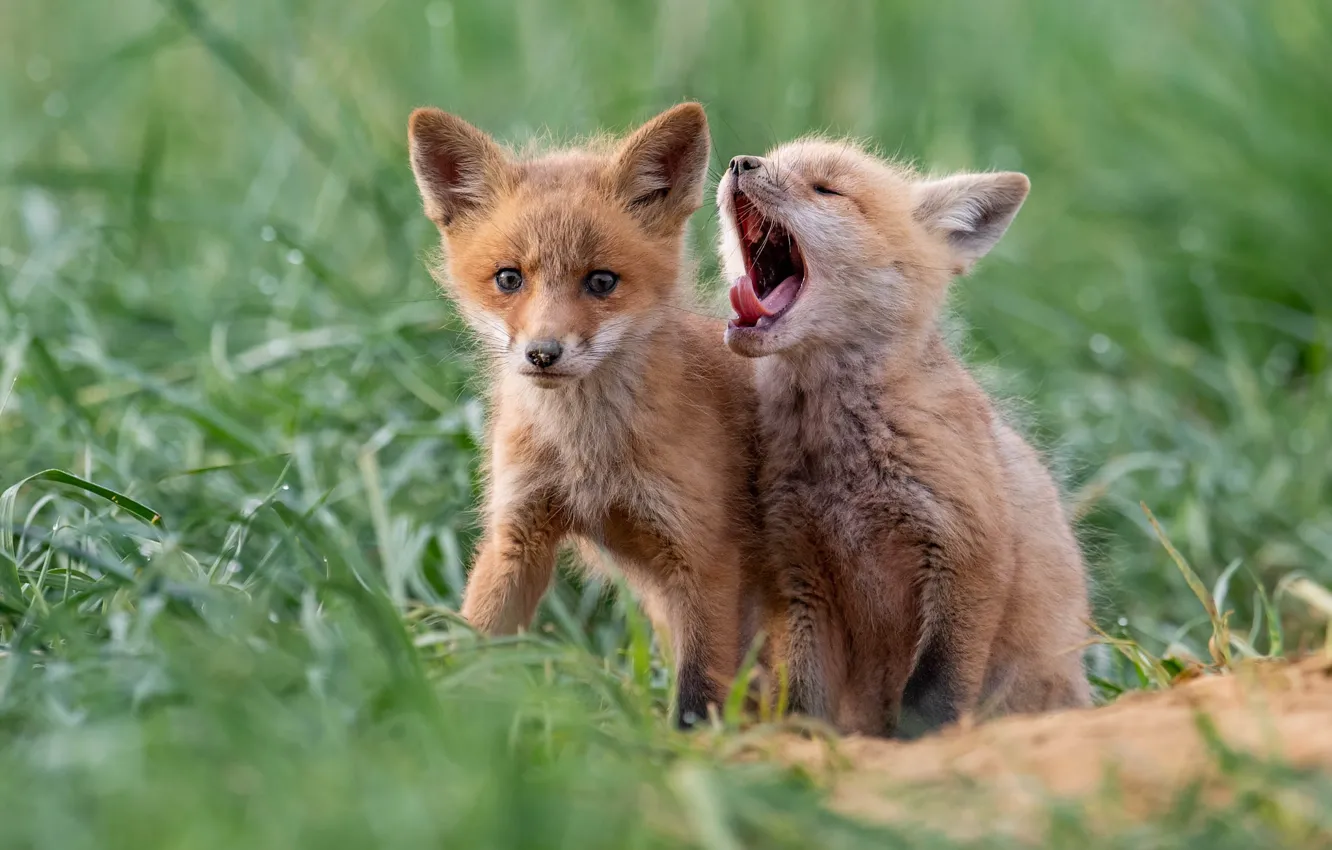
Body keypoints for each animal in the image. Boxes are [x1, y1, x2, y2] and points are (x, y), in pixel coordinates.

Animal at [407, 103, 778, 727]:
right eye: (509, 278)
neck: (587, 454)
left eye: (601, 281)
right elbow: (477, 646)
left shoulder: (704, 555)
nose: (542, 353)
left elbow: (697, 697)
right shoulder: (518, 533)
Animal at [715, 140, 1092, 737]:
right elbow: (803, 702)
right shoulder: (800, 578)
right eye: (774, 158)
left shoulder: (968, 556)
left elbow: (931, 698)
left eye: (826, 189)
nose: (739, 163)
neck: (840, 462)